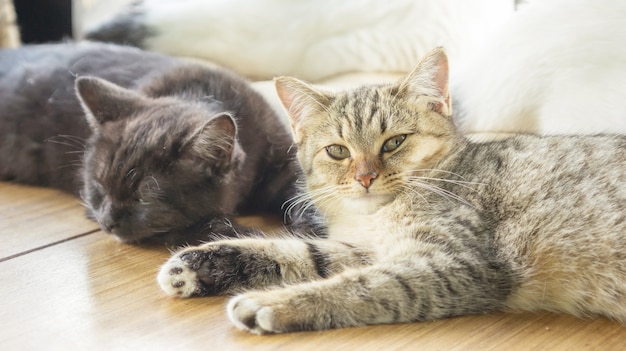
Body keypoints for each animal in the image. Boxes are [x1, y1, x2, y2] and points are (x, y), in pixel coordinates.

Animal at [0, 42, 314, 245]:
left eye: (144, 199)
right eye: (98, 188)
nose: (107, 223)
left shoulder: (281, 158)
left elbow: (303, 190)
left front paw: (311, 227)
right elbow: (195, 225)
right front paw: (248, 238)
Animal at [157, 48, 624, 334]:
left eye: (394, 142)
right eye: (338, 150)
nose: (365, 177)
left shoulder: (454, 263)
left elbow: (363, 286)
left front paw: (275, 303)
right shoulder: (365, 248)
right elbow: (298, 252)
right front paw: (202, 262)